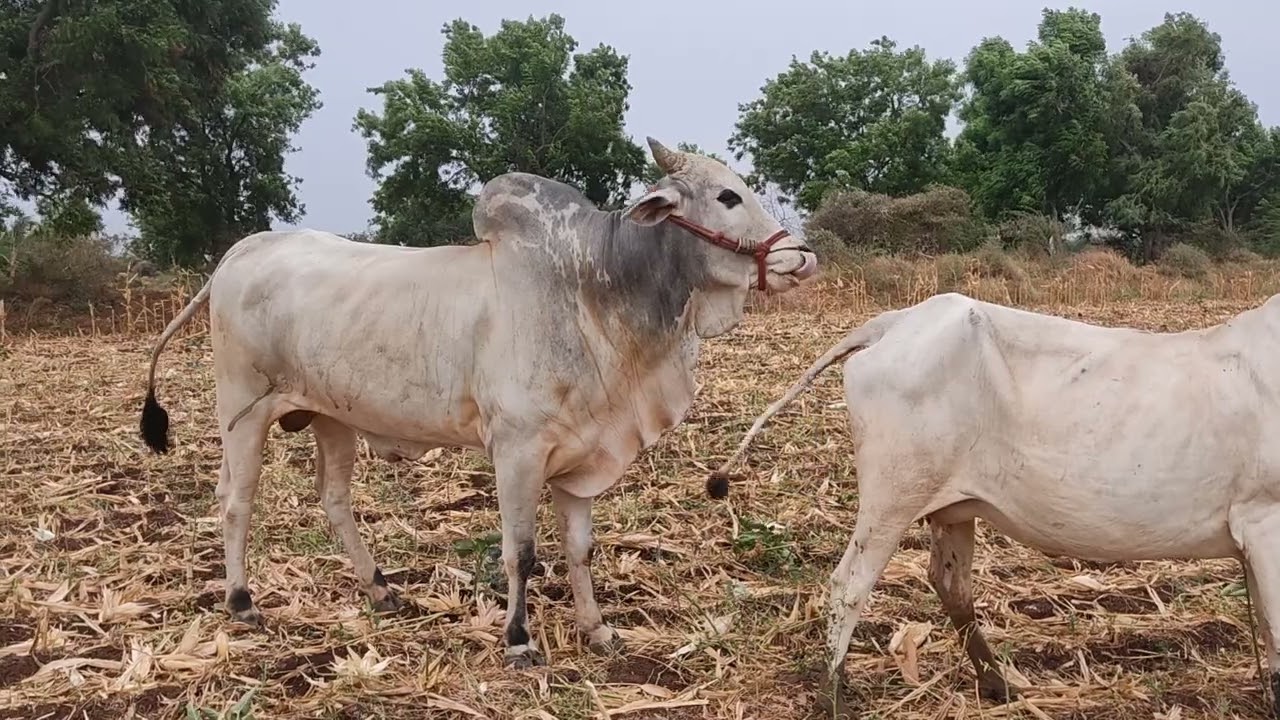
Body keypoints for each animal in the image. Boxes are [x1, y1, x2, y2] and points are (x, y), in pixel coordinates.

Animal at [137, 138, 818, 668]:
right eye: (727, 197)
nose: (802, 256)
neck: (593, 292)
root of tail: (242, 251)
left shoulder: (584, 455)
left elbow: (580, 550)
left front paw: (597, 630)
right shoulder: (517, 451)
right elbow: (521, 552)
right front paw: (518, 640)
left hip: (333, 418)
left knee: (333, 501)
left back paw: (380, 590)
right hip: (244, 414)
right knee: (236, 500)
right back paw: (242, 602)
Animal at [707, 291, 1280, 718]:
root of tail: (898, 321)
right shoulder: (1265, 519)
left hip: (952, 508)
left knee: (950, 584)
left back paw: (997, 683)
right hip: (892, 496)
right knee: (847, 586)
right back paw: (834, 698)